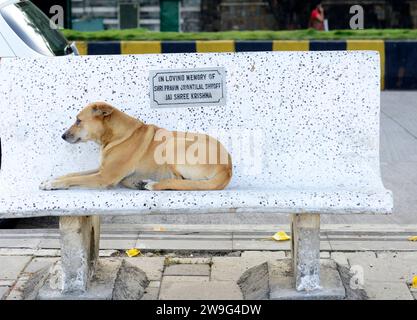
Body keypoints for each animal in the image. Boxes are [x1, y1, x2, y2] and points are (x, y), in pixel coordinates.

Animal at [39, 102, 231, 190]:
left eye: (78, 121)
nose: (63, 136)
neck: (117, 135)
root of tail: (227, 167)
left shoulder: (105, 177)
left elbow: (74, 179)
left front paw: (52, 184)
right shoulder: (101, 169)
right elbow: (72, 174)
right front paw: (52, 179)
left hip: (172, 145)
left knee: (178, 181)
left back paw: (151, 184)